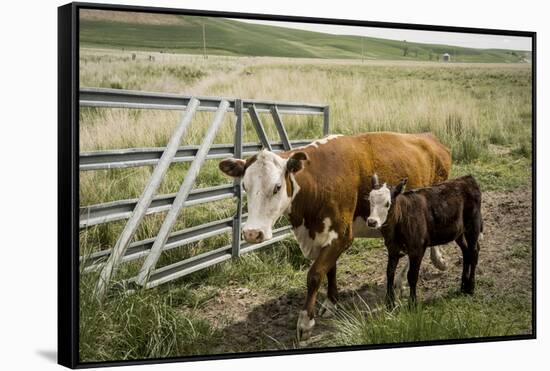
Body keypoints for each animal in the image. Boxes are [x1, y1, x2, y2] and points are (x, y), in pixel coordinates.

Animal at [220, 132, 452, 342]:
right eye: (245, 186)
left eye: (277, 187)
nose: (252, 233)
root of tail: (429, 138)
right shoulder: (323, 237)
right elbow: (330, 269)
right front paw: (331, 302)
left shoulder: (342, 235)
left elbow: (315, 275)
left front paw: (305, 322)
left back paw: (426, 266)